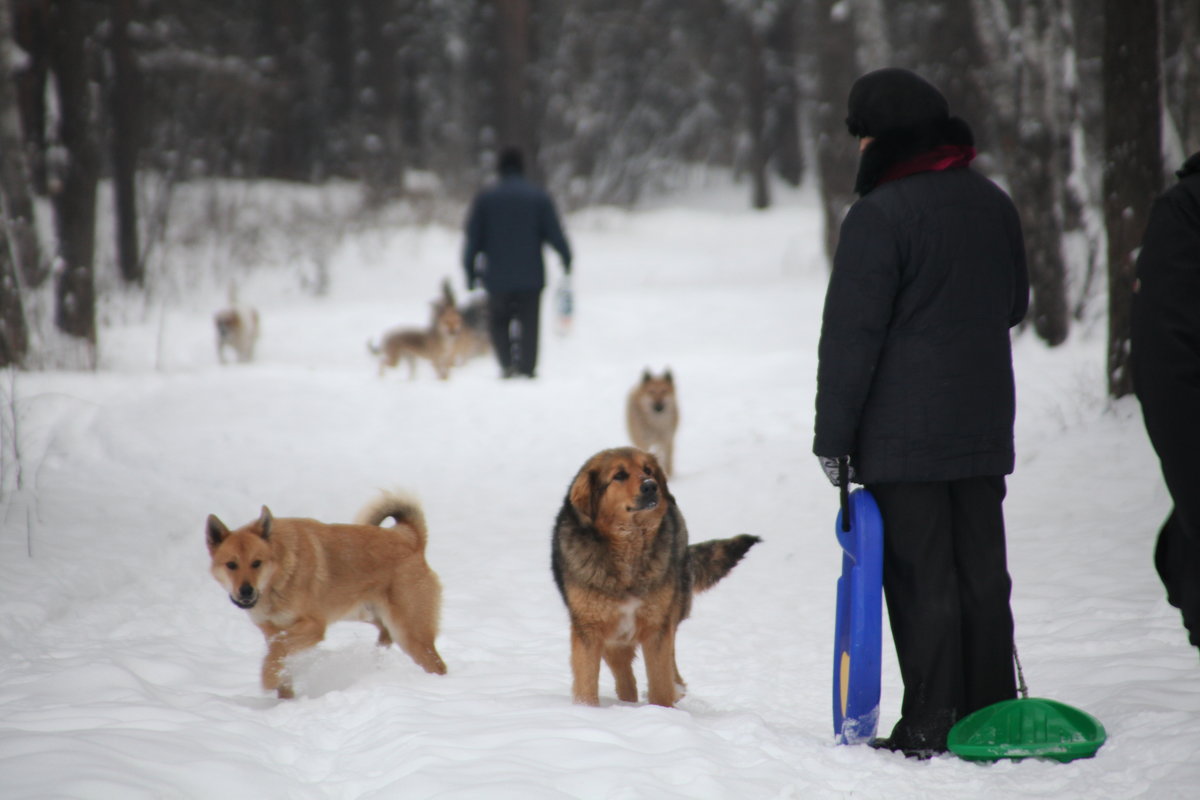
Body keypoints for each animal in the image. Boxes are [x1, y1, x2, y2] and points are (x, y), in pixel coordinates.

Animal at [204, 491, 448, 695]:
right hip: (366, 614)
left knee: (437, 665)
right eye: (231, 565)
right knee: (384, 634)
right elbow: (278, 655)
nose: (246, 591)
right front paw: (284, 698)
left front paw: (268, 678)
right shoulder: (271, 631)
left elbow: (279, 650)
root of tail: (411, 538)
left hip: (410, 633)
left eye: (257, 563)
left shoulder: (314, 626)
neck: (278, 577)